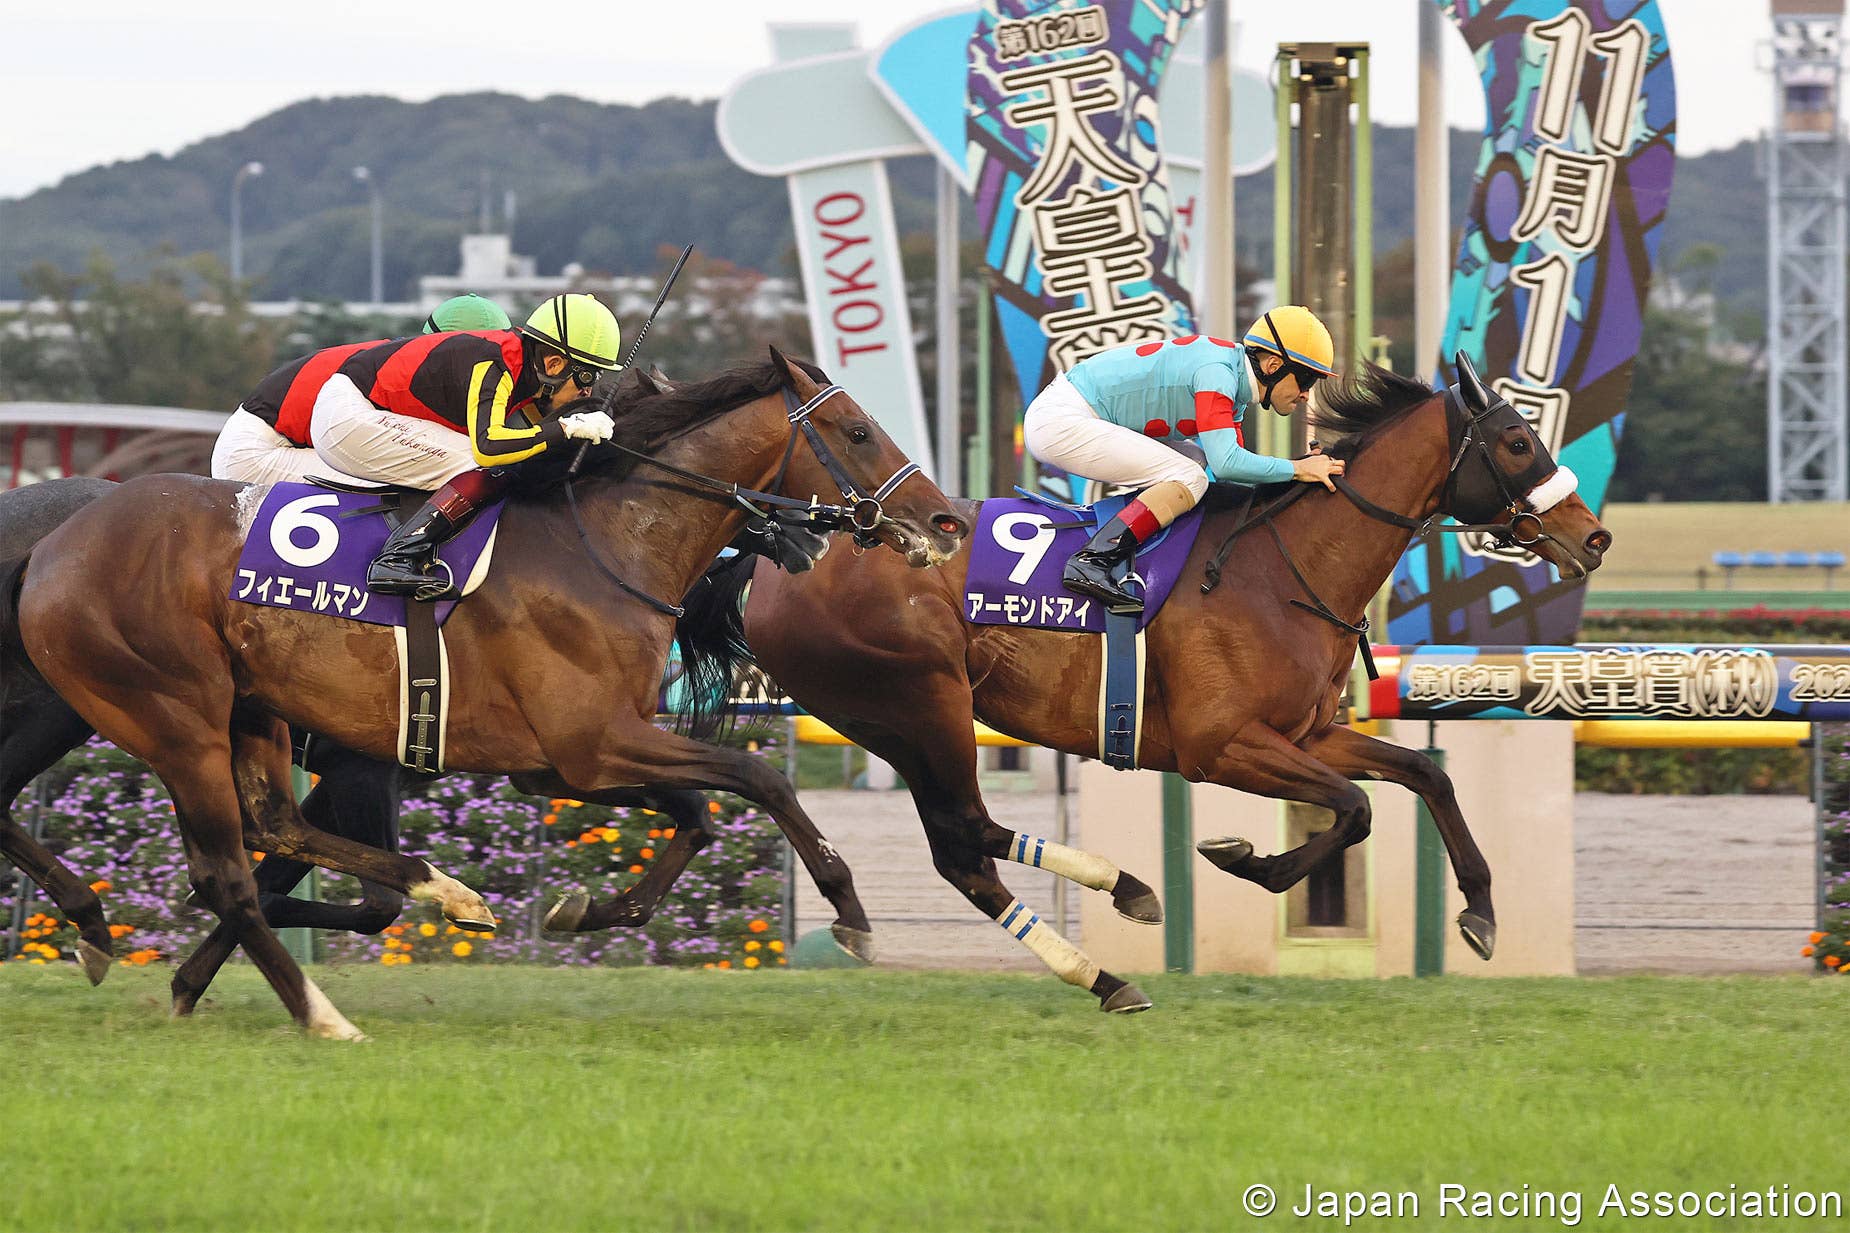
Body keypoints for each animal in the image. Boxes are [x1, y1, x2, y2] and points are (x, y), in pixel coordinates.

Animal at [0, 350, 967, 1037]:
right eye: (854, 430)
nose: (946, 520)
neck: (601, 542)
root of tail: (55, 546)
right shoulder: (582, 743)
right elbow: (757, 780)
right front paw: (849, 910)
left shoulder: (566, 759)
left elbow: (696, 811)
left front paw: (593, 907)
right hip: (167, 715)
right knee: (224, 871)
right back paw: (320, 1007)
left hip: (245, 713)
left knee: (266, 830)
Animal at [621, 359, 1611, 1011]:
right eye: (1518, 439)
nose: (1593, 535)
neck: (1283, 568)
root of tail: (771, 562)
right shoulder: (1224, 746)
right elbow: (1354, 808)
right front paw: (1246, 860)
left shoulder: (1303, 734)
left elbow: (1424, 776)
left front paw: (1480, 910)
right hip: (919, 701)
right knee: (963, 838)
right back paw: (1110, 929)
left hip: (893, 717)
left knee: (964, 846)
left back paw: (1109, 931)